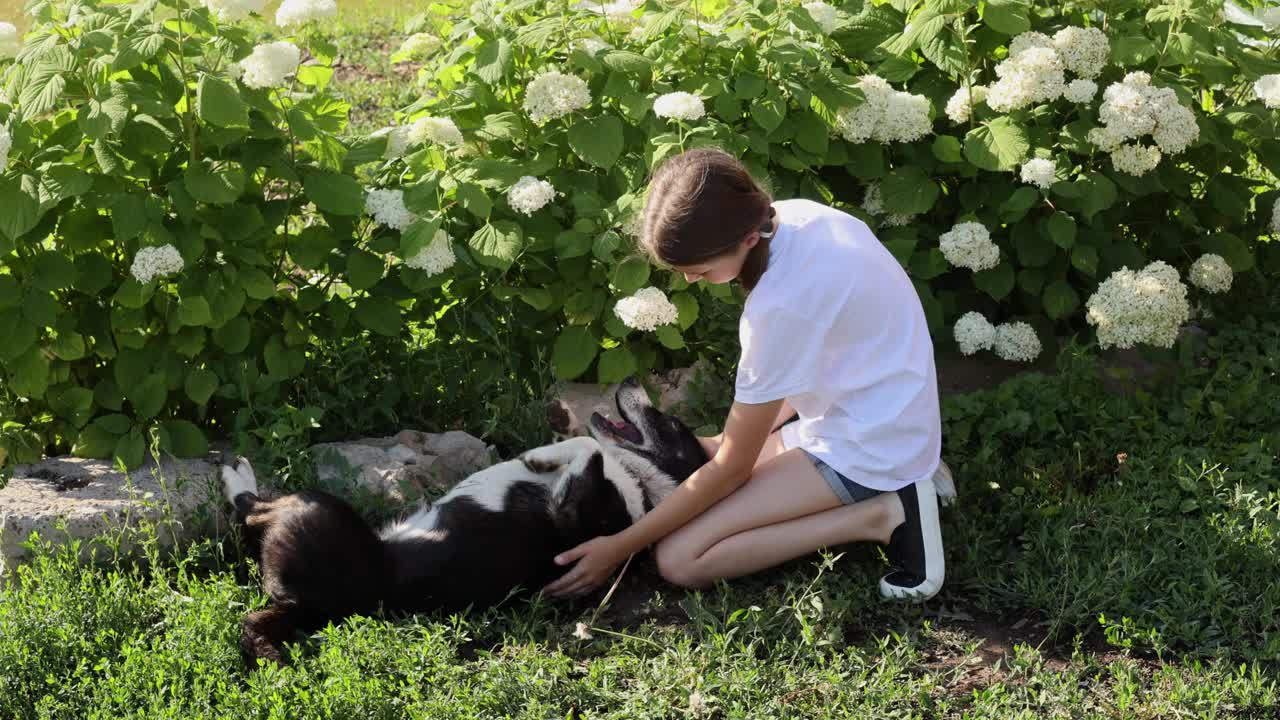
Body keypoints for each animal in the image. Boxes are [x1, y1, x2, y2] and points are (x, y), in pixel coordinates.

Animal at [216, 376, 706, 661]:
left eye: (671, 425)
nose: (630, 377)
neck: (643, 488)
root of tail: (305, 606)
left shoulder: (571, 504)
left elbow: (587, 447)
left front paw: (539, 456)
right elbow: (589, 445)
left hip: (312, 507)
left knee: (250, 511)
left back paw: (234, 473)